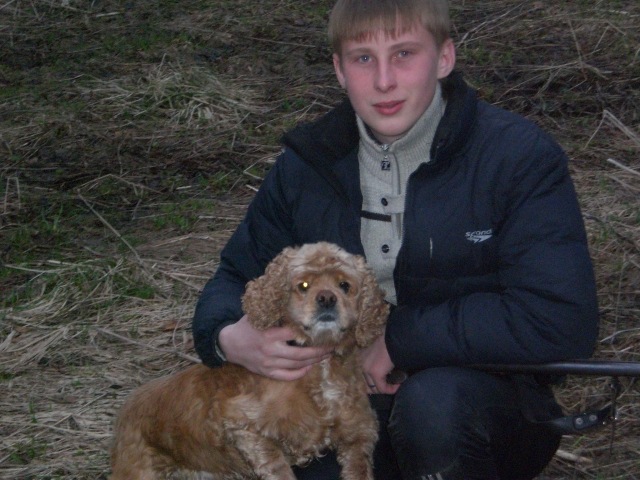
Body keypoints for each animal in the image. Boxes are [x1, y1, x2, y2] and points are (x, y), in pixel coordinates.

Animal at [110, 242, 389, 479]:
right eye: (303, 285)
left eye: (345, 285)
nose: (327, 298)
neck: (321, 368)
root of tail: (126, 406)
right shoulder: (244, 427)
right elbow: (277, 466)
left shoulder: (359, 432)